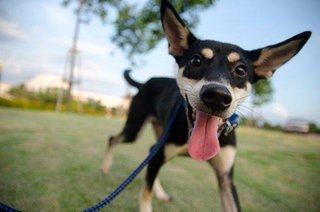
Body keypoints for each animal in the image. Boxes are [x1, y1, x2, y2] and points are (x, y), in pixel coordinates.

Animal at [100, 0, 310, 211]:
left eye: (241, 70)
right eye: (195, 61)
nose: (217, 96)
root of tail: (144, 83)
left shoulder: (226, 177)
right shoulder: (161, 152)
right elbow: (145, 193)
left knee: (149, 154)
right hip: (135, 129)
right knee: (113, 139)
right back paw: (105, 167)